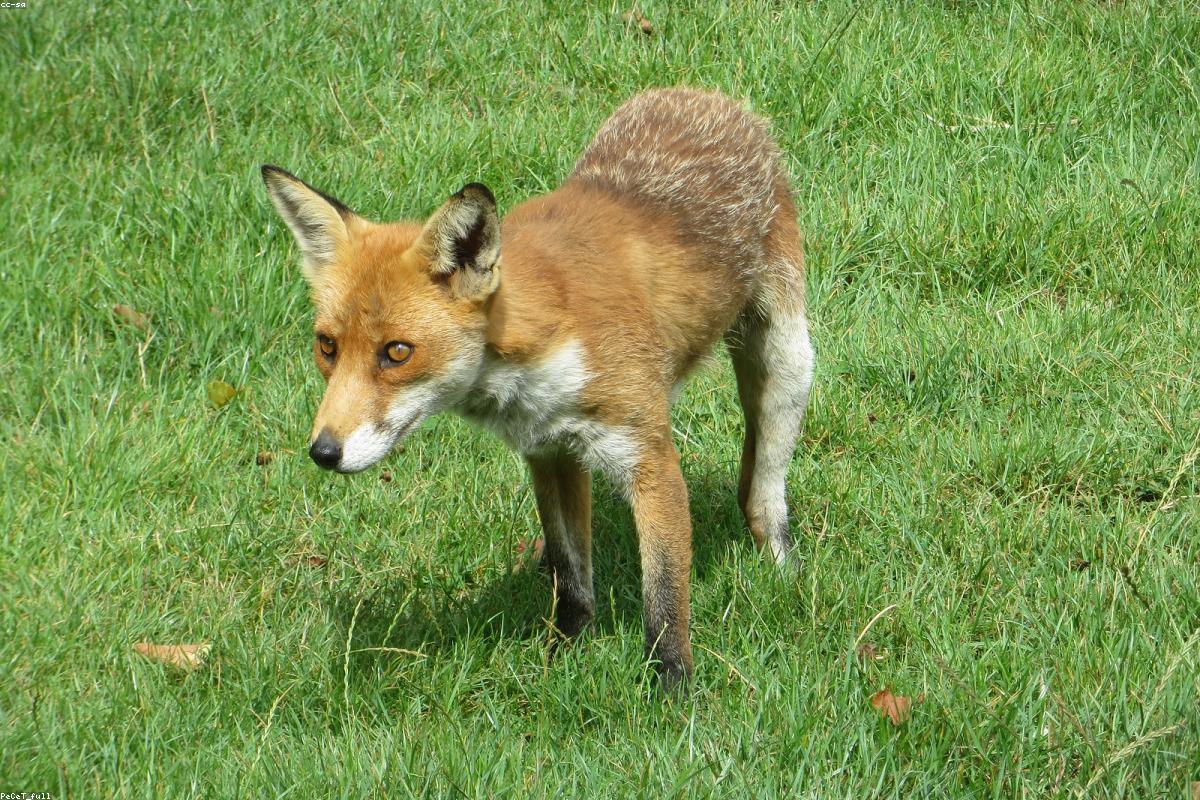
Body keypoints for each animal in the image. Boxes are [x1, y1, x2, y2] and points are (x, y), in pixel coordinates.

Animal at [260, 87, 814, 691]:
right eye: (327, 347)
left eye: (397, 352)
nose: (323, 452)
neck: (535, 357)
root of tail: (705, 97)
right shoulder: (550, 453)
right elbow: (572, 576)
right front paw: (563, 653)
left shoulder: (649, 456)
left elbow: (665, 599)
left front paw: (672, 690)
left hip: (786, 366)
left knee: (761, 495)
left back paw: (783, 571)